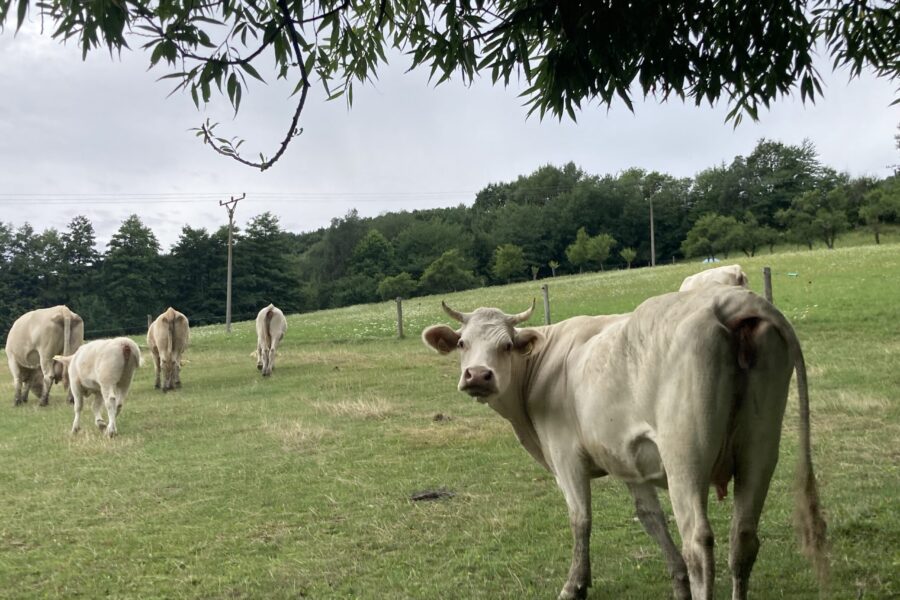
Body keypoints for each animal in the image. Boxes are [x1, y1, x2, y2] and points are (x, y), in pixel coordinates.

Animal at [424, 288, 828, 600]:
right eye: (462, 343)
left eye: (507, 345)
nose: (478, 375)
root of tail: (728, 299)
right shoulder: (629, 461)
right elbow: (650, 519)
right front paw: (677, 584)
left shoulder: (565, 456)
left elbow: (580, 519)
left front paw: (575, 585)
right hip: (760, 446)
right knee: (743, 538)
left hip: (685, 454)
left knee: (699, 543)